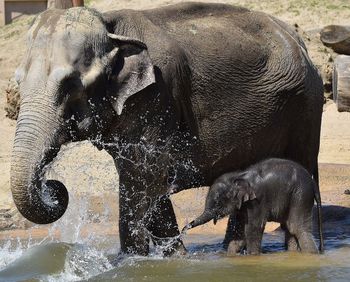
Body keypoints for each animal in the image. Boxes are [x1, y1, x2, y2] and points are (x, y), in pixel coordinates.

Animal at [185, 159, 324, 256]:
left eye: (218, 202)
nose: (184, 229)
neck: (238, 176)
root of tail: (313, 182)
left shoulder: (257, 201)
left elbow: (253, 227)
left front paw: (253, 257)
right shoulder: (243, 205)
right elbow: (239, 230)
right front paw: (230, 255)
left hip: (301, 195)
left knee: (297, 228)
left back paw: (311, 255)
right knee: (290, 228)